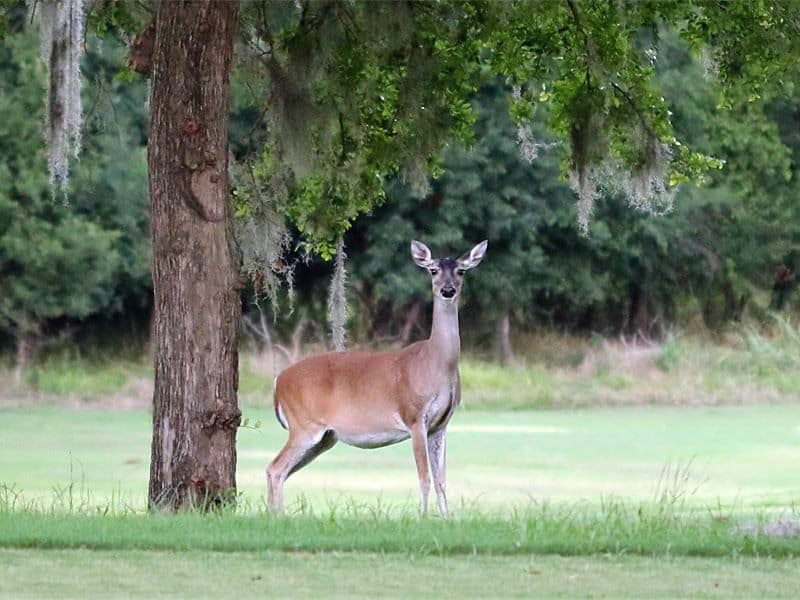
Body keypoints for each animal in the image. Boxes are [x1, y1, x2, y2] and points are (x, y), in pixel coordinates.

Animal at [267, 239, 488, 517]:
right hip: (304, 425)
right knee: (275, 468)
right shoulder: (414, 416)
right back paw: (278, 516)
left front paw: (446, 519)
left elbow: (441, 480)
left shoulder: (441, 424)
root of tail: (278, 382)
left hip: (324, 437)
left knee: (280, 470)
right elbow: (424, 477)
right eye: (433, 270)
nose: (447, 290)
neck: (434, 363)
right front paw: (423, 518)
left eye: (461, 271)